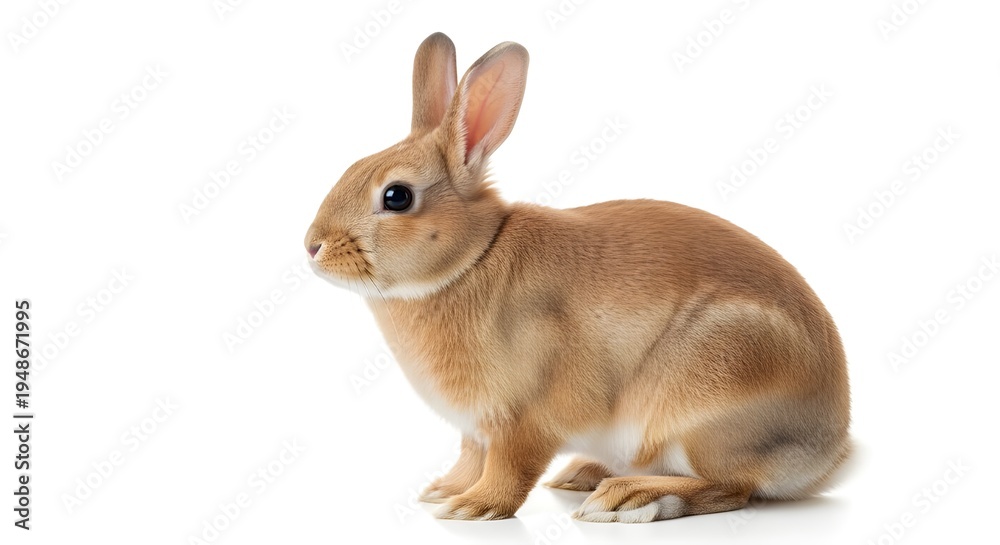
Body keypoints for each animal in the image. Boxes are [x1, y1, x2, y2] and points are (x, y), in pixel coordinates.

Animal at [304, 32, 851, 523]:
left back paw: (630, 497)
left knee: (730, 487)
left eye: (396, 196)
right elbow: (471, 457)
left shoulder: (524, 417)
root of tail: (827, 453)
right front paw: (445, 490)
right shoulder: (475, 429)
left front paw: (473, 507)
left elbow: (509, 467)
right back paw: (584, 475)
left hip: (707, 401)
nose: (312, 246)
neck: (473, 257)